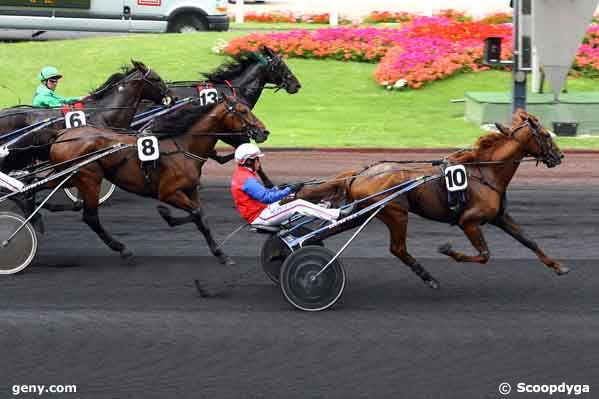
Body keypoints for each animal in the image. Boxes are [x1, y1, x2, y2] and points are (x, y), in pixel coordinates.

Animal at [48, 96, 268, 266]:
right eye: (243, 110)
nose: (264, 132)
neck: (183, 148)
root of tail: (63, 134)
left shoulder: (190, 190)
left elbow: (202, 218)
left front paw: (221, 254)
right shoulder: (169, 192)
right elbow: (195, 214)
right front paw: (167, 215)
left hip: (69, 176)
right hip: (90, 178)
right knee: (91, 217)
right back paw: (121, 248)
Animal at [298, 111, 568, 290]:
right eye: (545, 135)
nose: (560, 156)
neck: (486, 172)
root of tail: (362, 173)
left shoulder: (499, 217)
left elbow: (529, 241)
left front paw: (558, 266)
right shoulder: (468, 221)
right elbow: (484, 255)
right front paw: (448, 250)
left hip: (364, 212)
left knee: (325, 232)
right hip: (395, 212)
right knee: (397, 248)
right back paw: (428, 277)